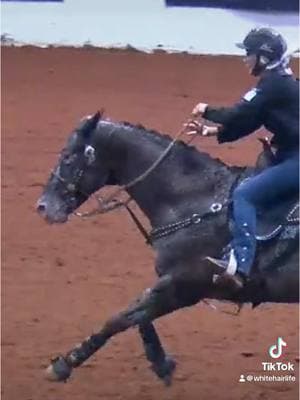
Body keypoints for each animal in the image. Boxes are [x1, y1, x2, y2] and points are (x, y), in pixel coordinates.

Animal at [37, 111, 298, 384]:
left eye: (68, 156)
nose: (43, 206)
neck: (195, 201)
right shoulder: (175, 286)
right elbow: (138, 315)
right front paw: (160, 361)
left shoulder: (184, 285)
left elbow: (120, 318)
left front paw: (64, 363)